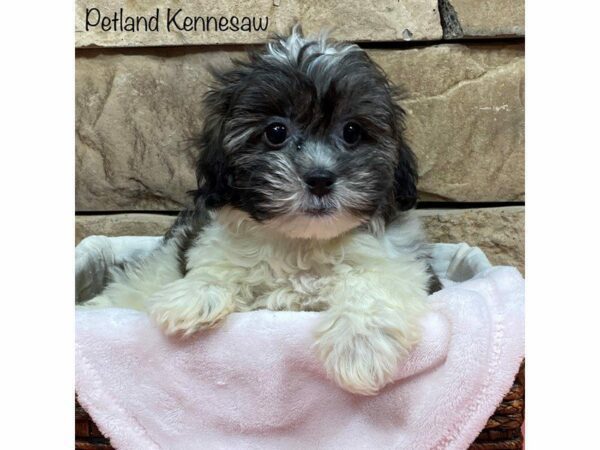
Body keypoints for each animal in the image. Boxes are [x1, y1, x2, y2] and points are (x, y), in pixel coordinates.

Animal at [83, 27, 440, 394]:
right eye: (276, 132)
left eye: (352, 131)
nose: (320, 179)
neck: (302, 242)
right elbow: (214, 269)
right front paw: (194, 297)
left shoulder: (405, 265)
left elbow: (373, 285)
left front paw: (359, 346)